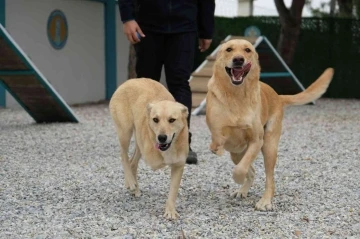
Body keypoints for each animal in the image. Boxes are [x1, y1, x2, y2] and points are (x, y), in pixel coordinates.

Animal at [109, 78, 188, 218]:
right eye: (155, 119)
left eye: (172, 120)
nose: (161, 137)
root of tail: (131, 80)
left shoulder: (178, 166)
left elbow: (173, 190)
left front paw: (170, 211)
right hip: (125, 132)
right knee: (124, 157)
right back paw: (131, 182)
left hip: (138, 143)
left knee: (132, 162)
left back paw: (135, 188)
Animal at [205, 39, 334, 211]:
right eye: (229, 49)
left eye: (247, 50)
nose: (238, 60)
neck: (236, 96)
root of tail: (278, 96)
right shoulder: (220, 133)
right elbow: (218, 140)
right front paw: (215, 149)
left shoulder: (256, 141)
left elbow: (241, 169)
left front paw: (237, 178)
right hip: (236, 154)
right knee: (251, 170)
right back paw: (242, 191)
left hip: (269, 148)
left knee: (268, 178)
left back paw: (265, 201)